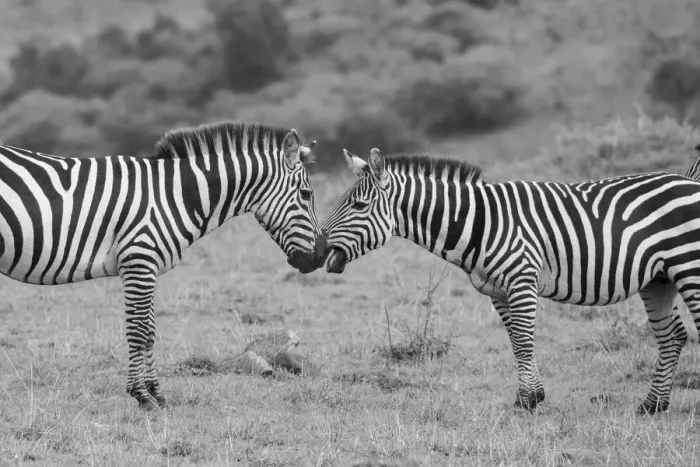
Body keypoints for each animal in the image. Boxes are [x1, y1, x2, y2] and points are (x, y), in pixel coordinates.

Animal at [0, 121, 321, 410]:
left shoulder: (148, 267)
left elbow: (151, 331)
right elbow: (139, 331)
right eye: (306, 194)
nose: (319, 258)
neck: (176, 197)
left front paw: (157, 394)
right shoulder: (138, 262)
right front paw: (142, 397)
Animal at [316, 146, 700, 414]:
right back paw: (652, 405)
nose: (316, 250)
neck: (480, 223)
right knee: (672, 336)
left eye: (359, 206)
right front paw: (530, 396)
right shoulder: (497, 291)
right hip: (659, 279)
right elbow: (516, 342)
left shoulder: (522, 280)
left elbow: (526, 342)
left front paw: (529, 400)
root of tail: (688, 180)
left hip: (689, 266)